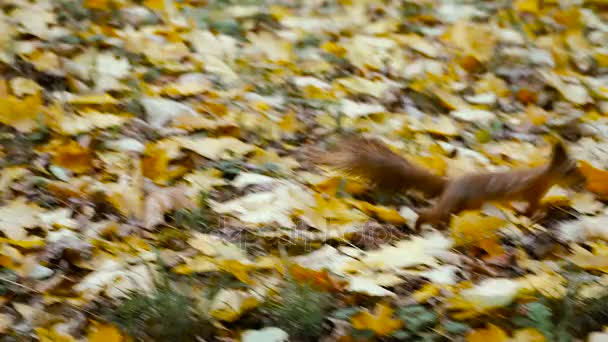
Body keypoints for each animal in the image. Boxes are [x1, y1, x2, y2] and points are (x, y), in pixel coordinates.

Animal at [312, 135, 588, 231]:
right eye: (571, 170)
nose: (584, 181)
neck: (542, 177)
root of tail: (448, 186)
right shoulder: (530, 192)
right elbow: (530, 209)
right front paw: (539, 214)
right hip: (453, 202)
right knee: (429, 214)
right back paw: (419, 225)